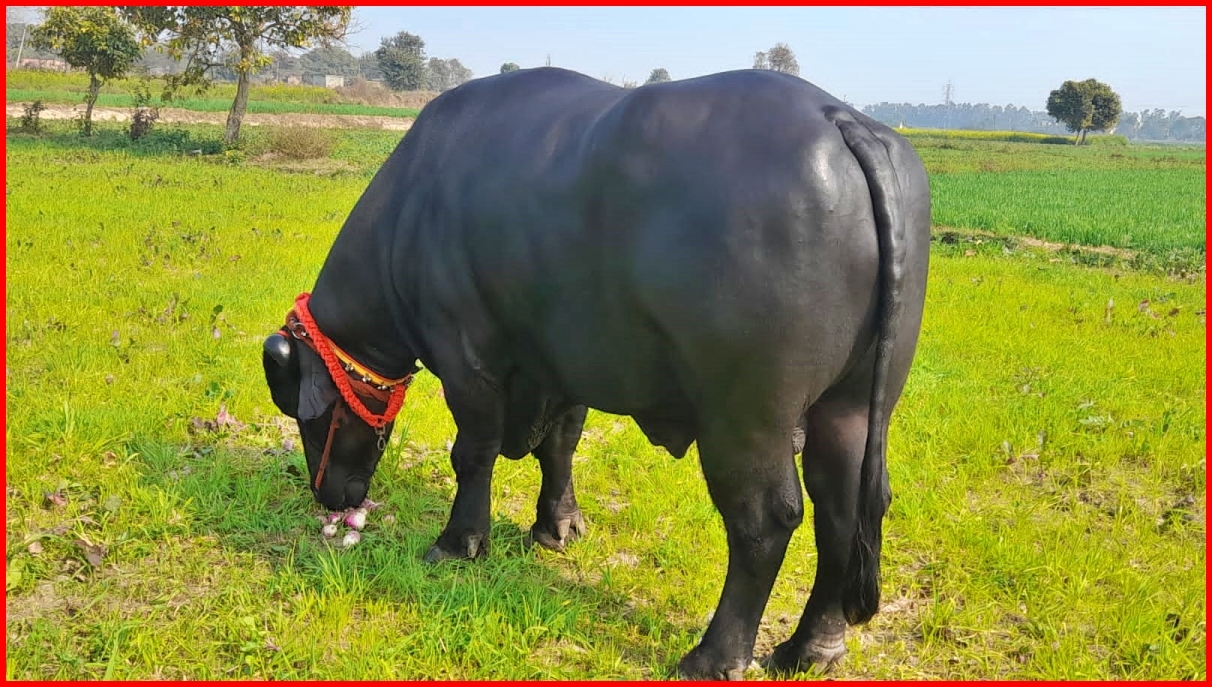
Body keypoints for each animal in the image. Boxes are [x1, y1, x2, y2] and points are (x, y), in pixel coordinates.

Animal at [263, 67, 925, 678]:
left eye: (308, 415)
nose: (328, 495)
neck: (413, 207)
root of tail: (839, 118)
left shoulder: (464, 360)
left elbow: (471, 454)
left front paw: (458, 542)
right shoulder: (565, 365)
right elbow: (560, 445)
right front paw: (557, 526)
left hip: (745, 417)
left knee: (765, 520)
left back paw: (713, 656)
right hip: (852, 405)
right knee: (845, 510)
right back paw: (812, 648)